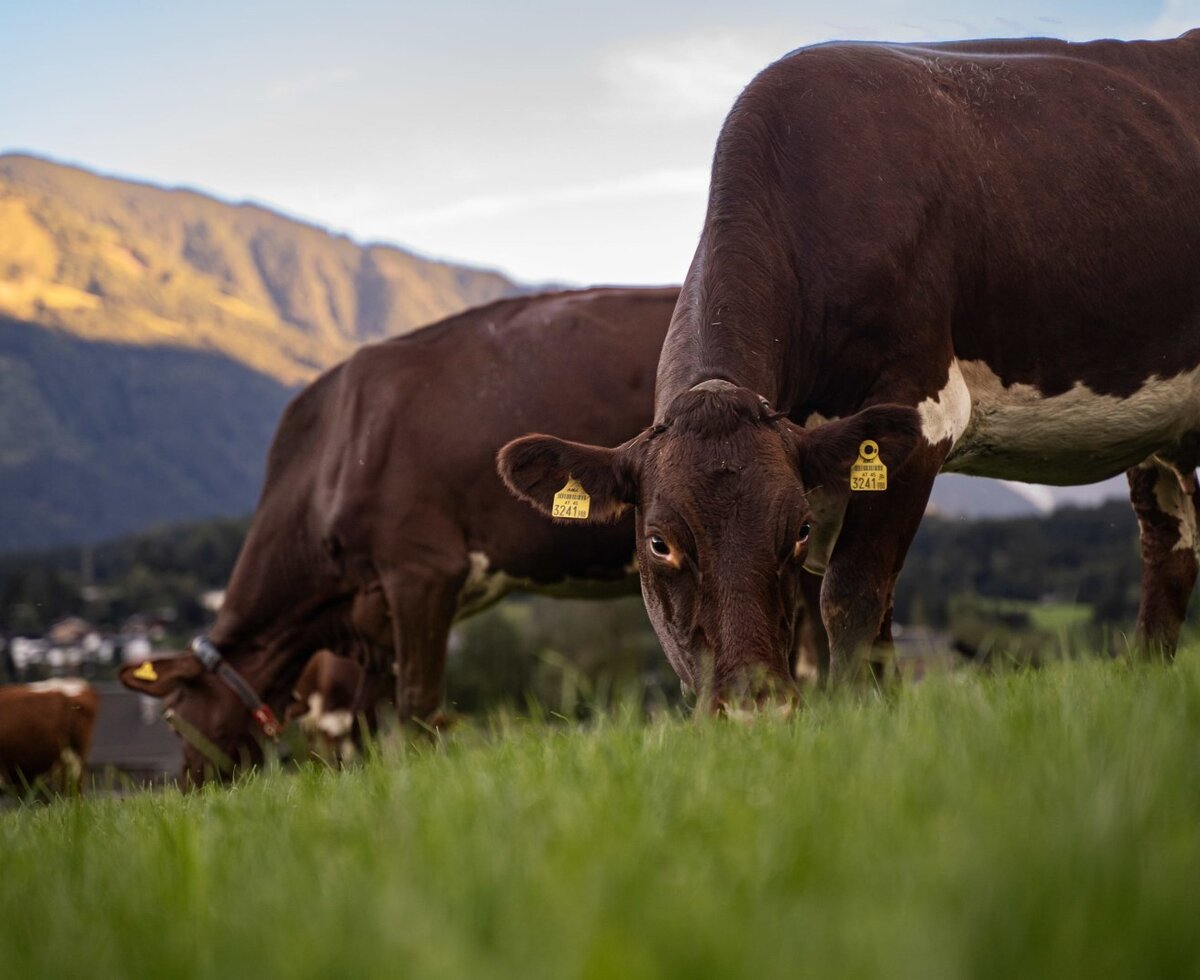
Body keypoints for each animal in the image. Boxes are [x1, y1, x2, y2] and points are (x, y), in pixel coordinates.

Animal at [120, 287, 681, 784]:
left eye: (174, 718)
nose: (191, 785)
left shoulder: (422, 568)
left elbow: (415, 705)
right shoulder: (376, 619)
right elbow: (366, 723)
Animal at [499, 32, 1200, 707]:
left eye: (799, 530)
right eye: (658, 542)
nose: (756, 706)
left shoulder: (920, 414)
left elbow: (854, 598)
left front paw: (853, 718)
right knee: (1169, 546)